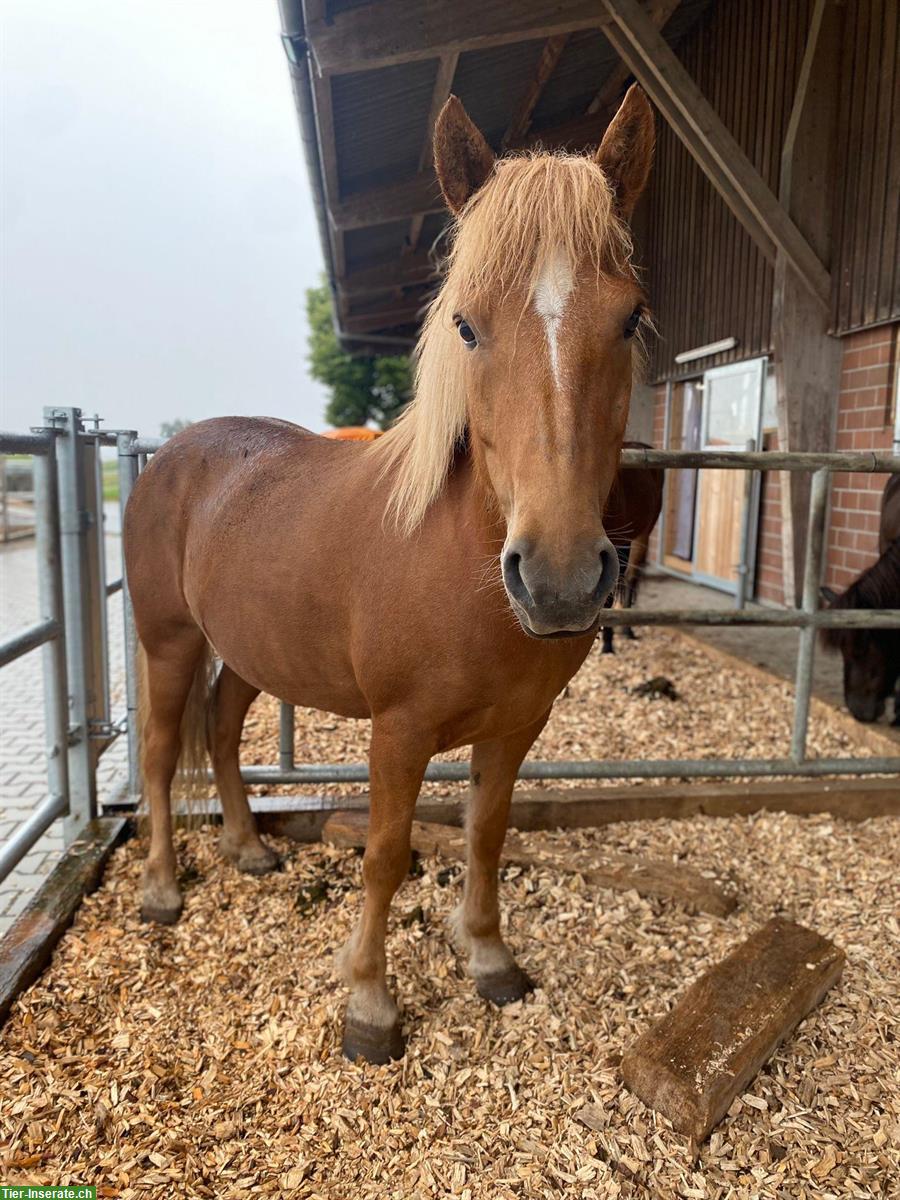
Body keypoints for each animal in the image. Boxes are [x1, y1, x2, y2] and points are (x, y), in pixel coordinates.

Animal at [125, 87, 657, 1060]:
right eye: (466, 324)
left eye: (630, 317)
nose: (559, 579)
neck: (460, 563)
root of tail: (174, 452)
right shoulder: (398, 733)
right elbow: (384, 854)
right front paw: (369, 1004)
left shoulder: (517, 726)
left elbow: (486, 835)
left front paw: (487, 957)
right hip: (169, 641)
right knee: (157, 751)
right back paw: (162, 889)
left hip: (251, 652)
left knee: (221, 731)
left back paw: (249, 850)